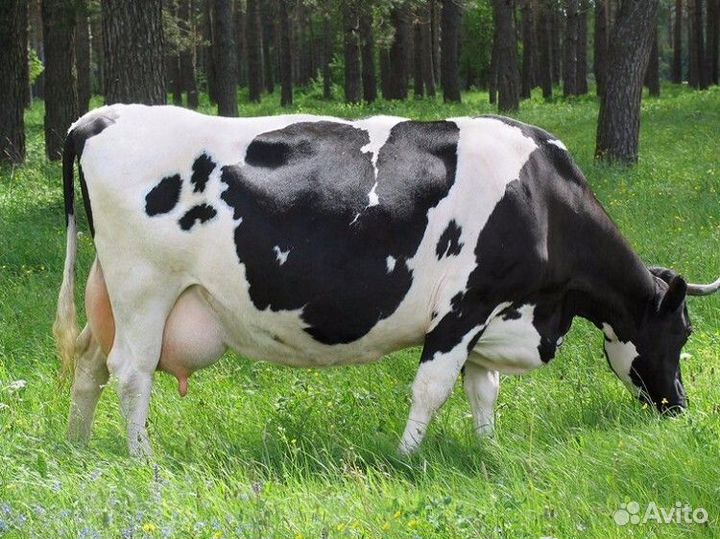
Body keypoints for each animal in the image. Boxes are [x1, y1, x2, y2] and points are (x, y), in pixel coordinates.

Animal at [54, 104, 720, 457]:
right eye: (682, 333)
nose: (680, 407)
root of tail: (104, 115)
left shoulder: (493, 317)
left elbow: (484, 391)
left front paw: (488, 451)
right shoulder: (463, 307)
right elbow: (432, 388)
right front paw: (405, 459)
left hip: (107, 291)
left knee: (89, 362)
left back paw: (80, 449)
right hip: (144, 289)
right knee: (131, 373)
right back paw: (142, 460)